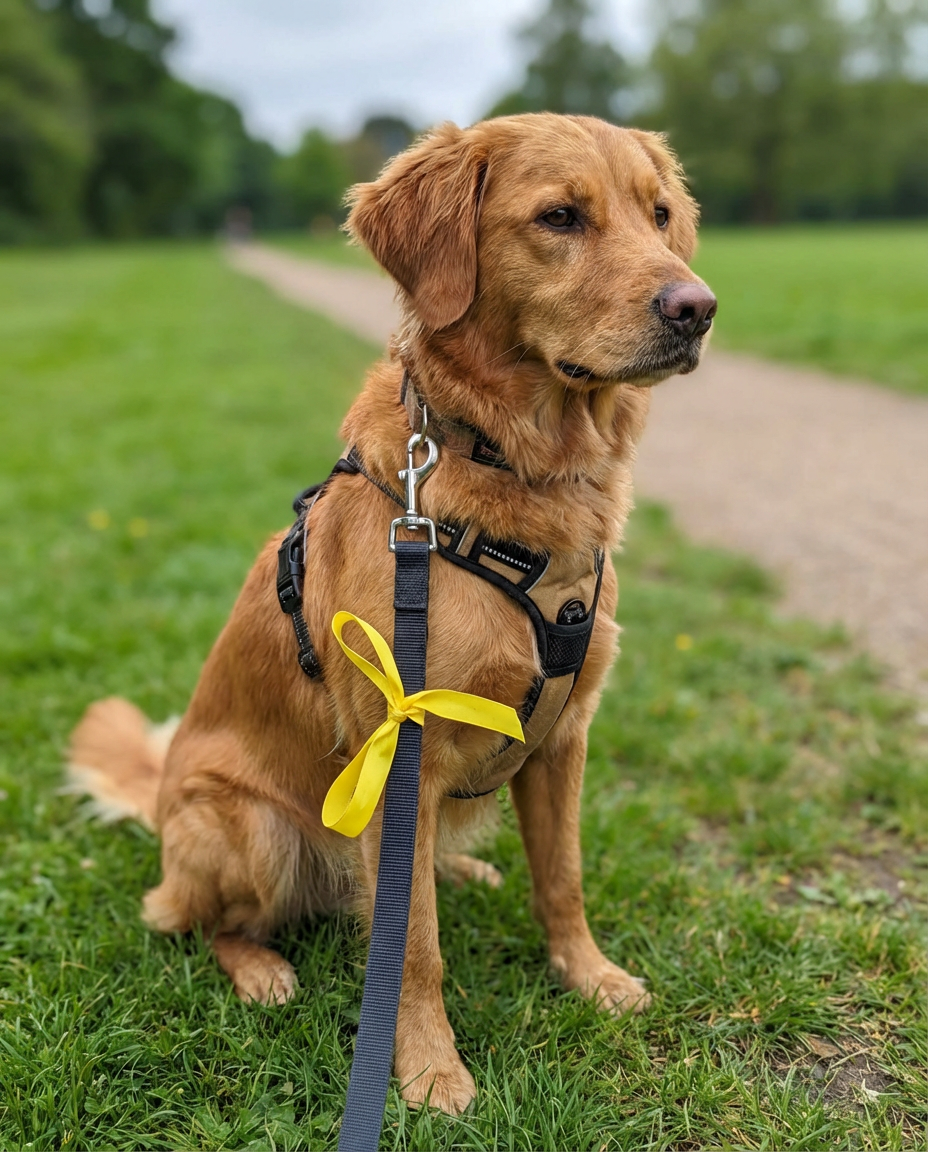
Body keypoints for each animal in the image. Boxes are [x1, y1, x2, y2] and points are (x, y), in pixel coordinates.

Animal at [68, 113, 716, 1115]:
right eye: (560, 217)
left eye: (659, 215)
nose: (698, 308)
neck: (512, 474)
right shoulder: (401, 753)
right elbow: (414, 946)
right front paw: (428, 1068)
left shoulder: (565, 742)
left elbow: (562, 880)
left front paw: (591, 976)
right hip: (251, 829)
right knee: (193, 920)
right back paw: (261, 970)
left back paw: (463, 865)